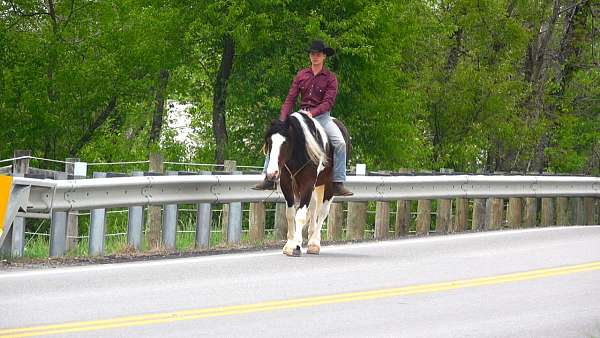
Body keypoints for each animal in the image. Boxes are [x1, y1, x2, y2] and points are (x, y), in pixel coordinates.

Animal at [262, 111, 352, 256]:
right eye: (269, 141)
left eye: (285, 142)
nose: (272, 173)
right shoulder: (286, 184)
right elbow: (290, 214)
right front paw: (290, 244)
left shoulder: (307, 185)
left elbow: (300, 215)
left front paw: (296, 246)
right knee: (314, 207)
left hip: (329, 186)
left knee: (323, 212)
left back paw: (314, 243)